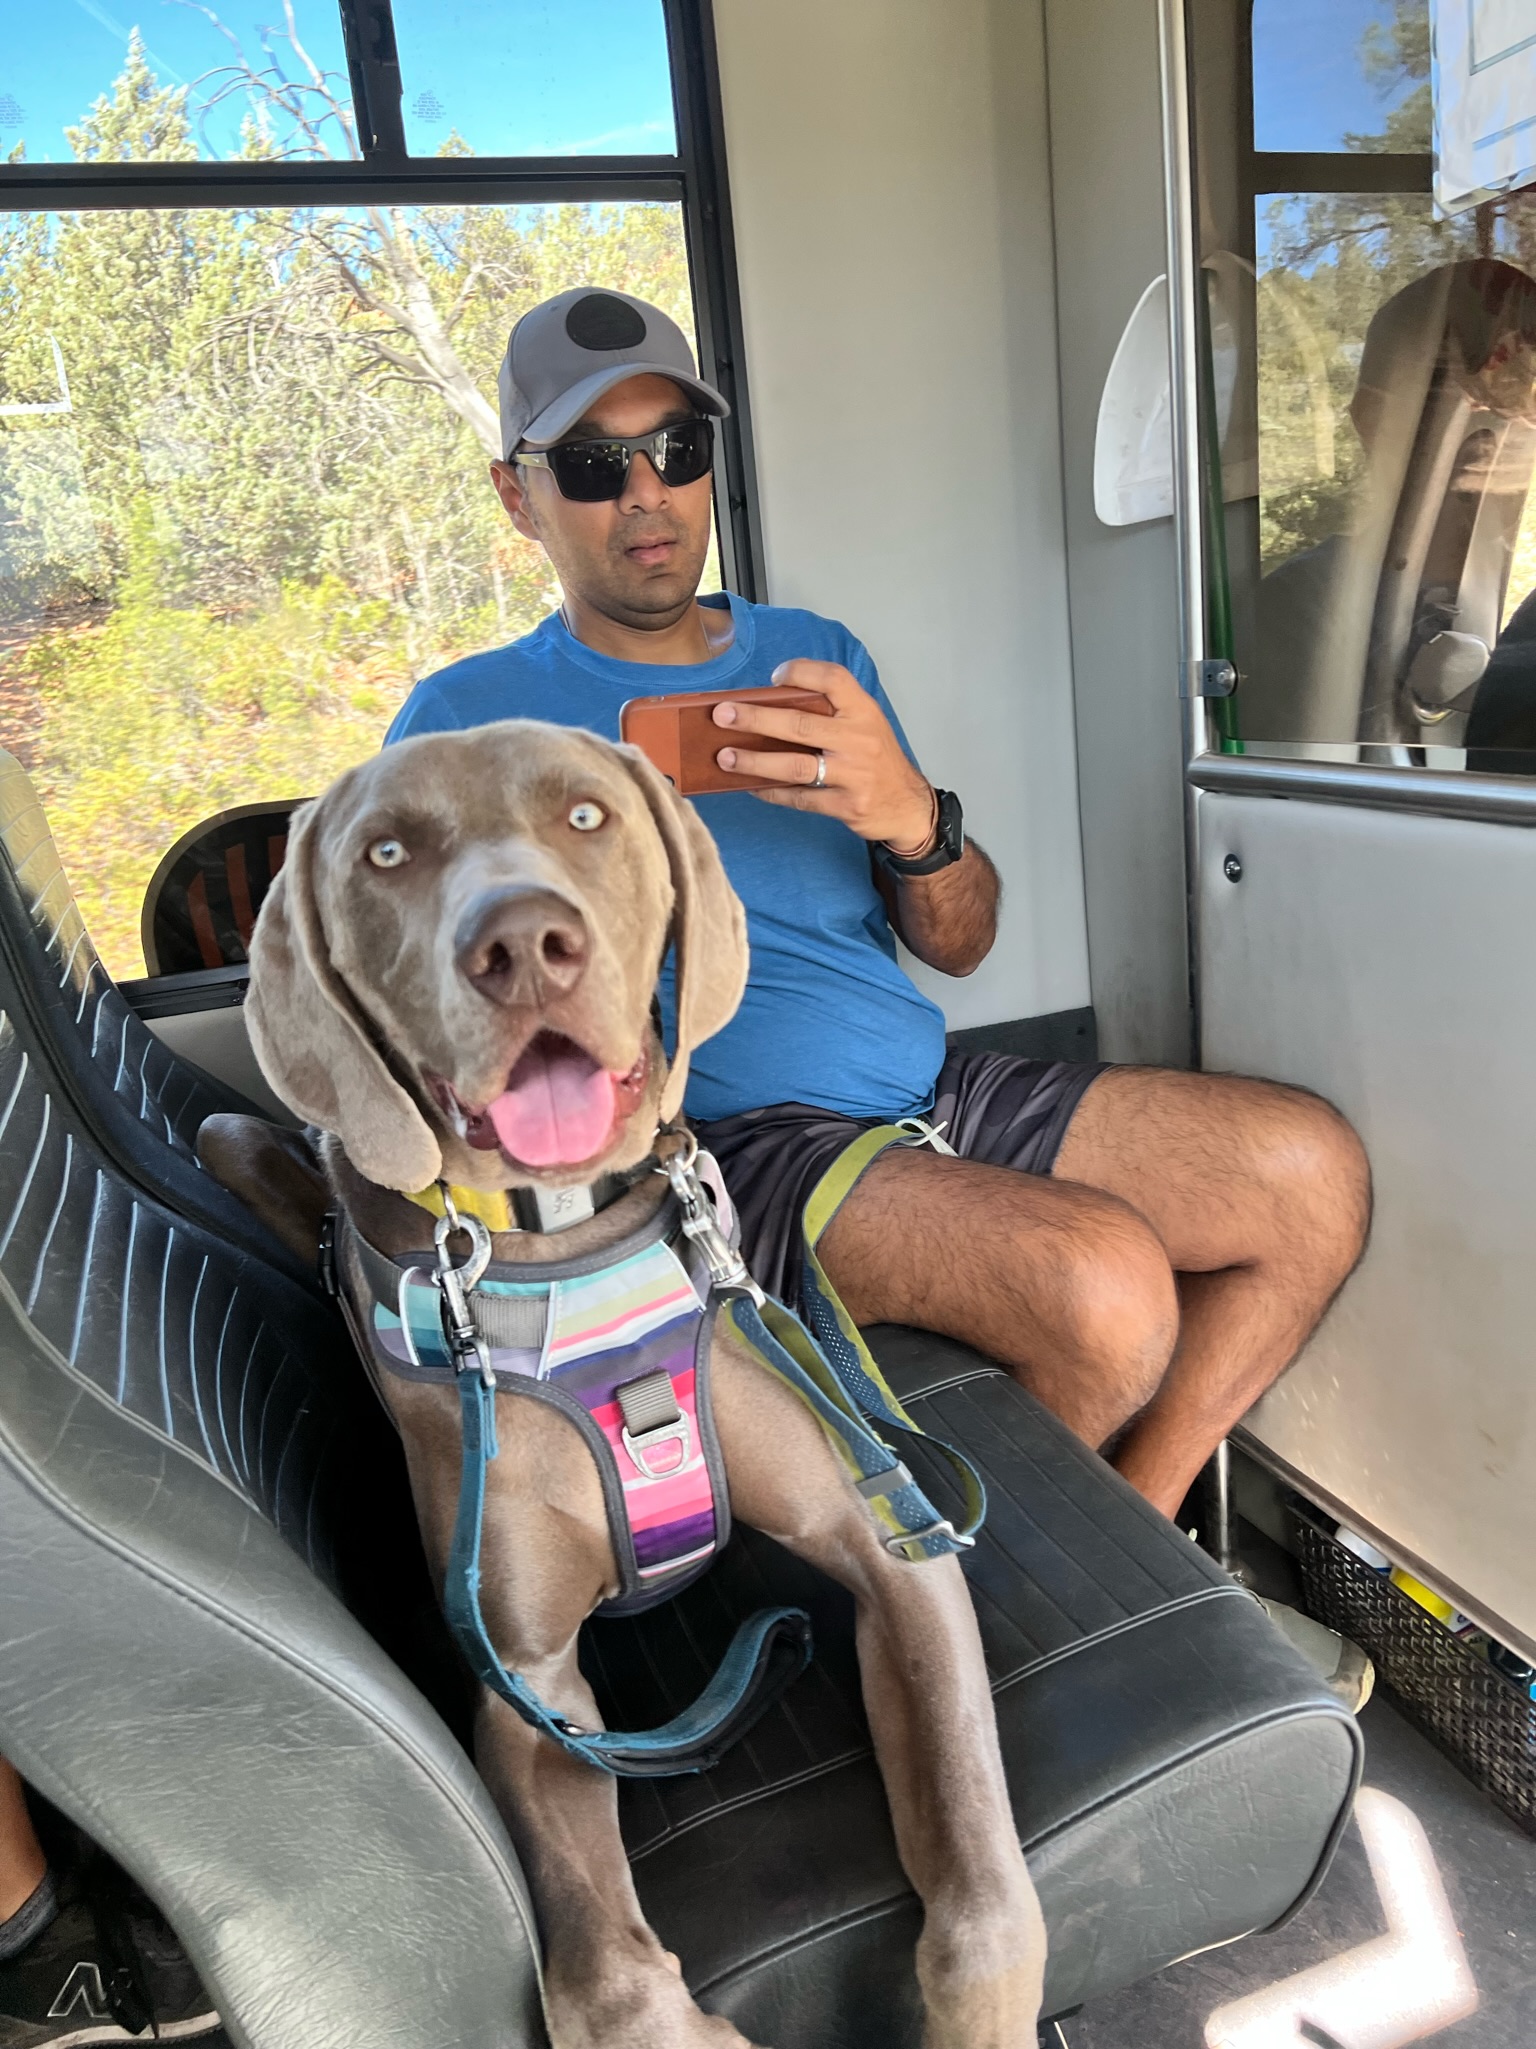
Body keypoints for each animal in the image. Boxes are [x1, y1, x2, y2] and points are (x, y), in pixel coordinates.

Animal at [201, 725, 1048, 2049]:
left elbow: (977, 1878)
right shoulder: (530, 1691)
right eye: (386, 853)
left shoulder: (889, 1540)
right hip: (235, 1137)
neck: (563, 1238)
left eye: (587, 816)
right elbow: (604, 1977)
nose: (522, 946)